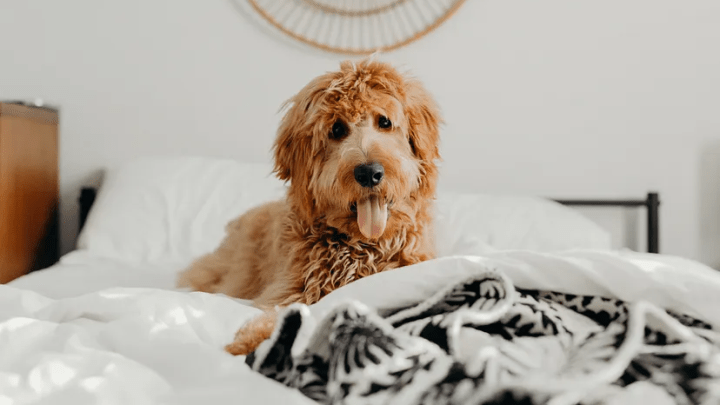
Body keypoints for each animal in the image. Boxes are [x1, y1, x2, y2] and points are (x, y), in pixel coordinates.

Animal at [177, 56, 442, 354]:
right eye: (337, 129)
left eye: (384, 122)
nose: (369, 172)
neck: (362, 248)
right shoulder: (290, 290)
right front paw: (253, 339)